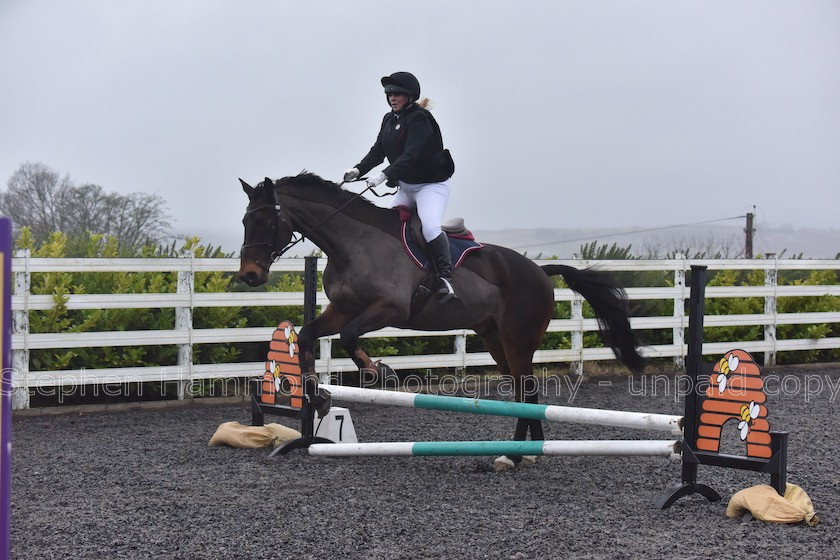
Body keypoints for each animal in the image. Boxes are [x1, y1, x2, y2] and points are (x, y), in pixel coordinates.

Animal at [240, 171, 648, 456]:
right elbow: (310, 335)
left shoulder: (390, 308)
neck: (350, 243)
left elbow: (349, 336)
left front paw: (379, 373)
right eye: (246, 221)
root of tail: (540, 272)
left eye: (265, 221)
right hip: (495, 338)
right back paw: (524, 453)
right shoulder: (343, 308)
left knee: (527, 390)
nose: (250, 275)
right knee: (523, 391)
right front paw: (318, 395)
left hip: (517, 338)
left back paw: (518, 454)